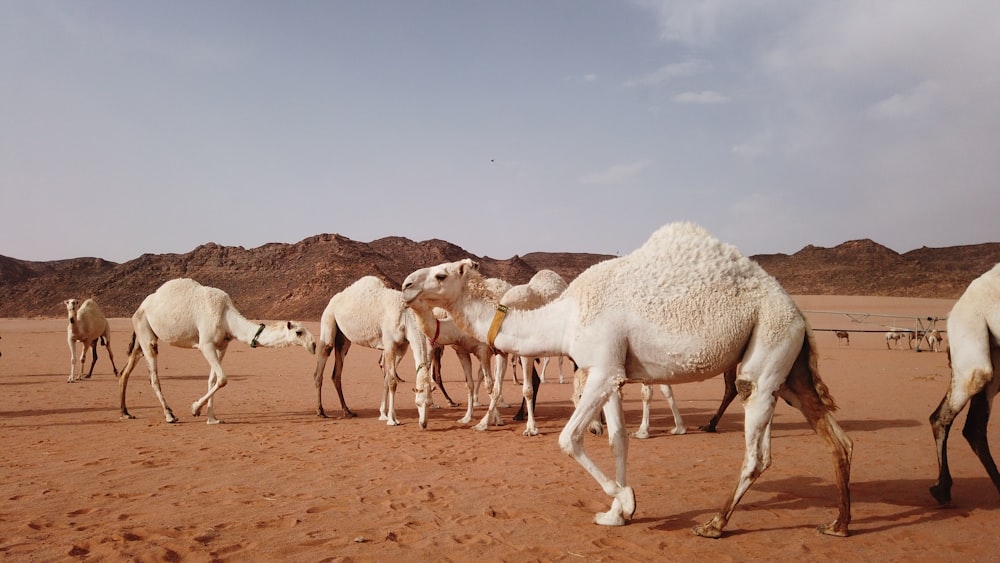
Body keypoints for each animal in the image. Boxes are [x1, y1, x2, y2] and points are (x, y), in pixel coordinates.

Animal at [119, 280, 318, 426]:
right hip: (144, 329)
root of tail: (140, 307)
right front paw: (195, 409)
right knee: (153, 375)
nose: (314, 344)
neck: (226, 317)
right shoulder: (205, 344)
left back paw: (125, 412)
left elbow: (213, 380)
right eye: (299, 332)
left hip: (141, 336)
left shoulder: (222, 346)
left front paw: (212, 418)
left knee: (125, 371)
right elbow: (223, 379)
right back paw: (169, 415)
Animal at [312, 276, 422, 426]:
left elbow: (387, 379)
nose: (423, 423)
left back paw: (347, 411)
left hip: (343, 339)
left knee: (336, 374)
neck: (405, 316)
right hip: (328, 318)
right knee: (322, 360)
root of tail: (334, 299)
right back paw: (320, 411)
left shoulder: (402, 347)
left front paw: (383, 414)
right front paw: (392, 420)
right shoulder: (390, 345)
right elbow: (392, 381)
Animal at [402, 223, 856, 540]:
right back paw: (839, 523)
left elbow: (568, 439)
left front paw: (622, 499)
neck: (565, 315)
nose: (405, 285)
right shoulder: (613, 374)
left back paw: (714, 523)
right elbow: (617, 439)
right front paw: (619, 510)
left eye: (441, 275)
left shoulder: (602, 368)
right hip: (791, 371)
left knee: (757, 451)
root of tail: (798, 313)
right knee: (839, 440)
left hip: (764, 356)